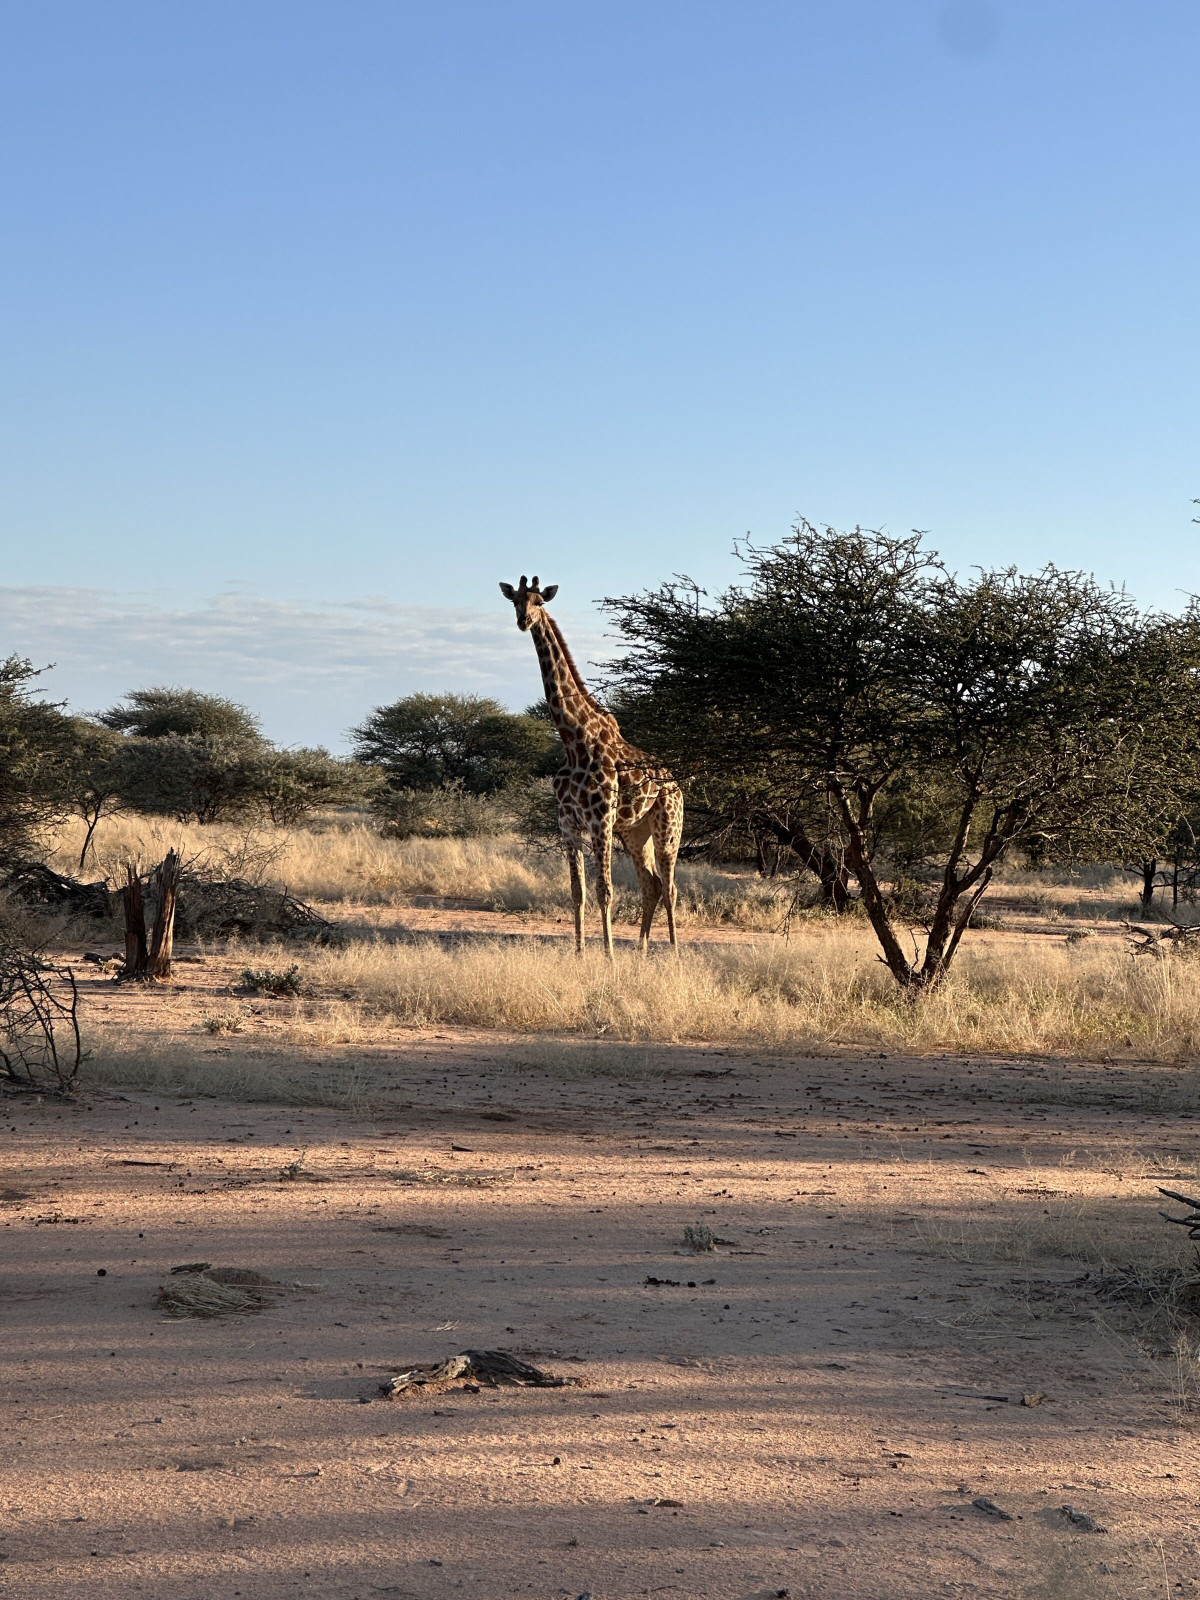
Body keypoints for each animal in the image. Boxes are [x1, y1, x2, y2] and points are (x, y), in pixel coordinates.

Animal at [499, 574, 683, 959]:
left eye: (540, 601)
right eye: (515, 601)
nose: (524, 620)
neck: (573, 739)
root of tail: (676, 782)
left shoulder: (601, 820)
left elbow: (605, 891)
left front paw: (609, 957)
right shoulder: (568, 824)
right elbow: (577, 892)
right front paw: (580, 954)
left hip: (667, 826)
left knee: (670, 886)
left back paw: (673, 953)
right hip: (635, 831)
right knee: (652, 884)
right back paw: (641, 953)